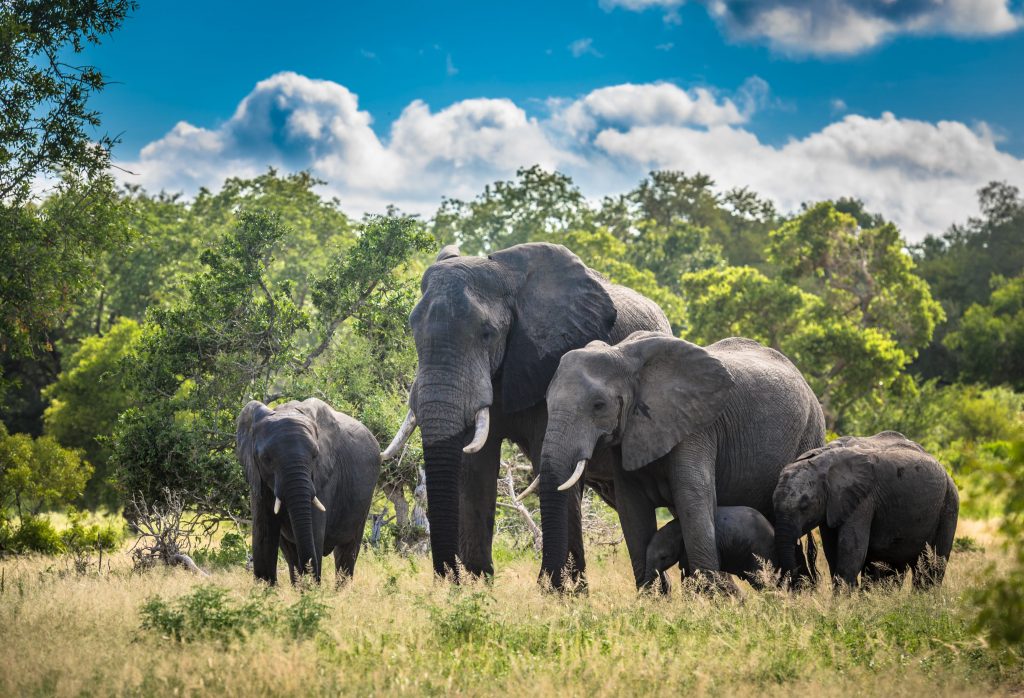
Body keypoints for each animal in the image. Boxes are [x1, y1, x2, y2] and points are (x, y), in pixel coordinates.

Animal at [234, 397, 380, 581]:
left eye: (315, 455)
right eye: (265, 458)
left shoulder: (324, 475)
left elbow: (314, 533)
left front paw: (311, 587)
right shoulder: (257, 478)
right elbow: (264, 535)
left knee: (347, 552)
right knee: (291, 555)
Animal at [380, 241, 667, 577]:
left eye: (487, 333)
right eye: (413, 329)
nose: (450, 578)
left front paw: (562, 589)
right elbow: (475, 468)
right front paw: (479, 583)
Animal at [536, 329, 823, 585]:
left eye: (599, 405)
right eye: (546, 402)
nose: (547, 586)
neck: (622, 354)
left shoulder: (697, 427)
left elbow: (692, 499)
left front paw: (710, 598)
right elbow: (632, 509)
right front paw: (652, 600)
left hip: (810, 431)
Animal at [774, 429, 958, 585]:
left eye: (805, 506)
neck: (820, 458)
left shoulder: (863, 500)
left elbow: (851, 550)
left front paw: (841, 601)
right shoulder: (833, 505)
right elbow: (832, 551)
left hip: (949, 505)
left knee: (931, 566)